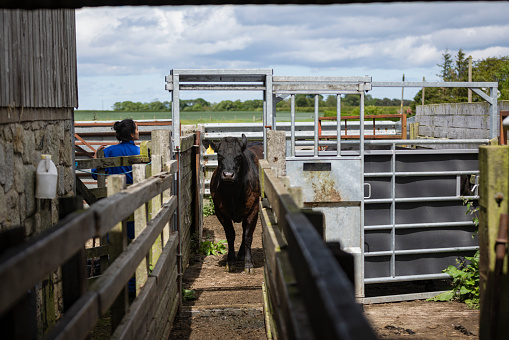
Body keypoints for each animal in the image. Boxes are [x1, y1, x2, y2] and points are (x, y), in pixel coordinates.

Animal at [203, 134, 262, 272]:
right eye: (219, 155)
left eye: (239, 156)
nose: (228, 175)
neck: (233, 193)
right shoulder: (220, 211)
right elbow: (230, 235)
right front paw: (230, 261)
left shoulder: (253, 209)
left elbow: (248, 236)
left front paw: (249, 264)